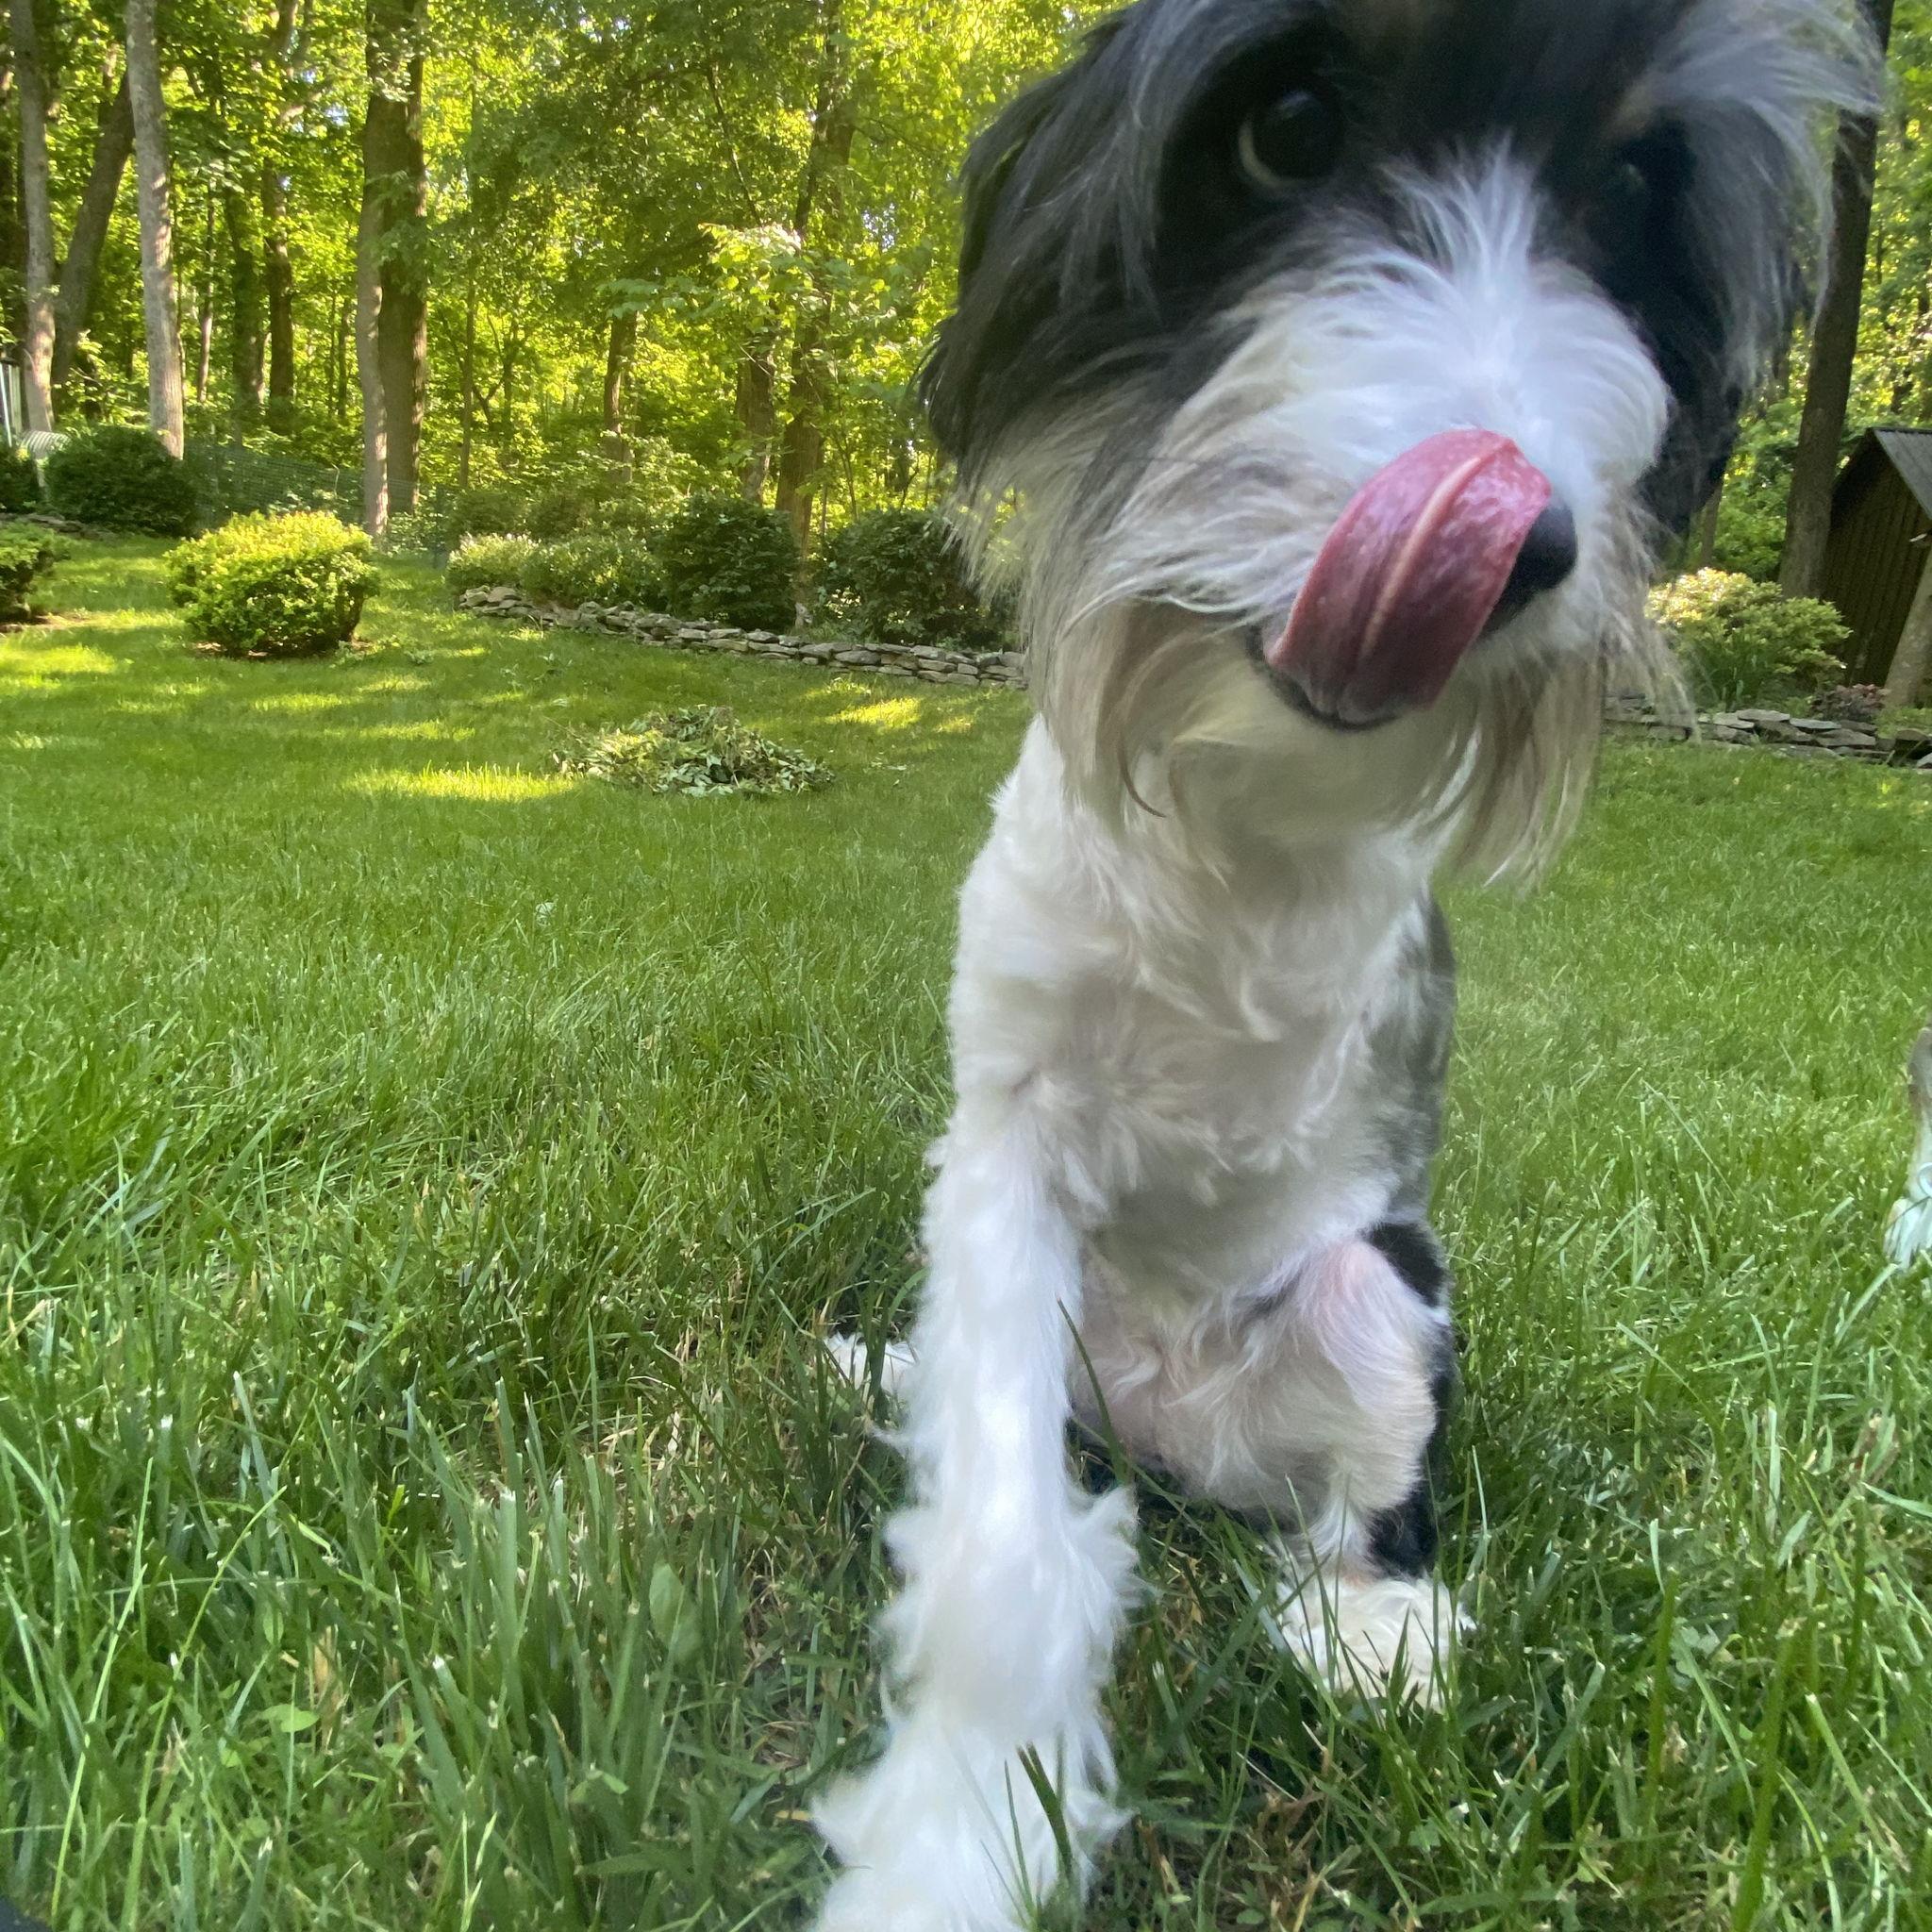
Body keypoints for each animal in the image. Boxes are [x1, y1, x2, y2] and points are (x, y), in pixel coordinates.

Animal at [811, 3, 1873, 1926]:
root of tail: (1165, 1424)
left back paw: (1370, 1628)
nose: (1514, 544)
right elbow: (996, 1529)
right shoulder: (1004, 1146)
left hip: (1378, 1290)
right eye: (1288, 126)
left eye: (1633, 199)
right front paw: (956, 1830)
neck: (1236, 789)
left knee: (1365, 1506)